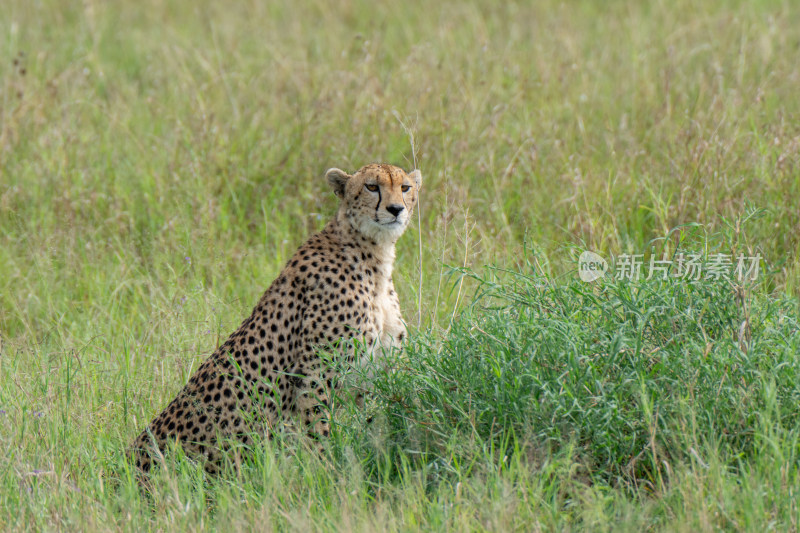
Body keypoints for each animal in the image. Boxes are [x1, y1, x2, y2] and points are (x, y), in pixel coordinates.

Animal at [128, 163, 422, 474]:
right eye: (371, 187)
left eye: (404, 188)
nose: (395, 209)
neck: (374, 257)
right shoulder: (316, 376)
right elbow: (321, 436)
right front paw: (326, 474)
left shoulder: (372, 378)